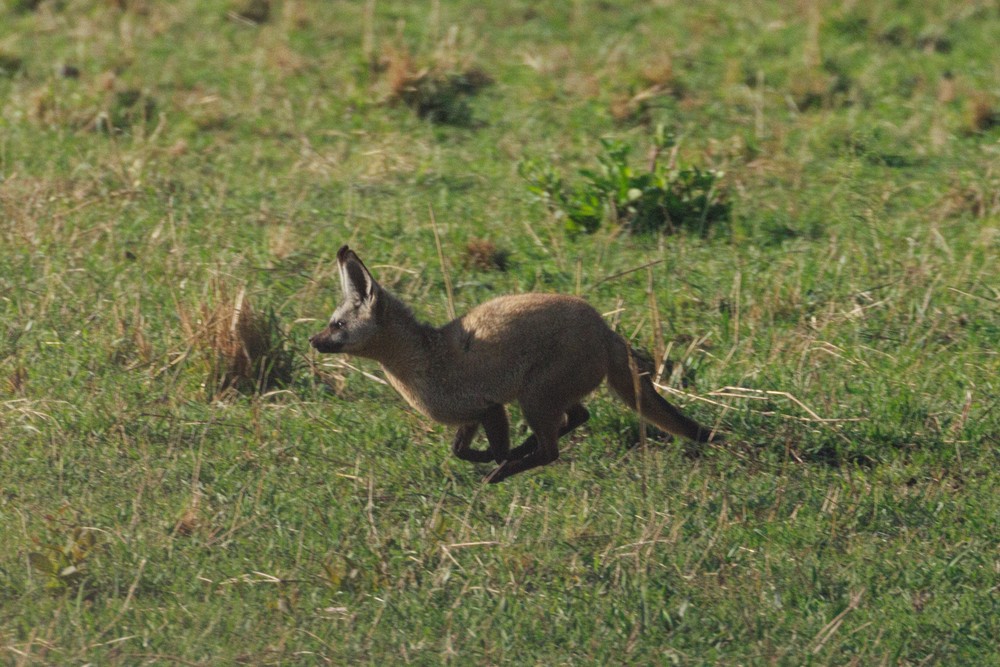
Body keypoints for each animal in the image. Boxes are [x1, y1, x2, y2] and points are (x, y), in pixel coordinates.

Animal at [310, 245, 720, 483]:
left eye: (337, 325)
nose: (312, 341)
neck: (424, 361)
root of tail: (607, 330)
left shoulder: (491, 408)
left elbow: (495, 449)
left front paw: (497, 462)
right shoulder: (472, 416)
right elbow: (459, 451)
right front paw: (487, 458)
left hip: (534, 398)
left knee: (552, 450)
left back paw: (503, 472)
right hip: (545, 398)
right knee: (577, 418)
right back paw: (520, 454)